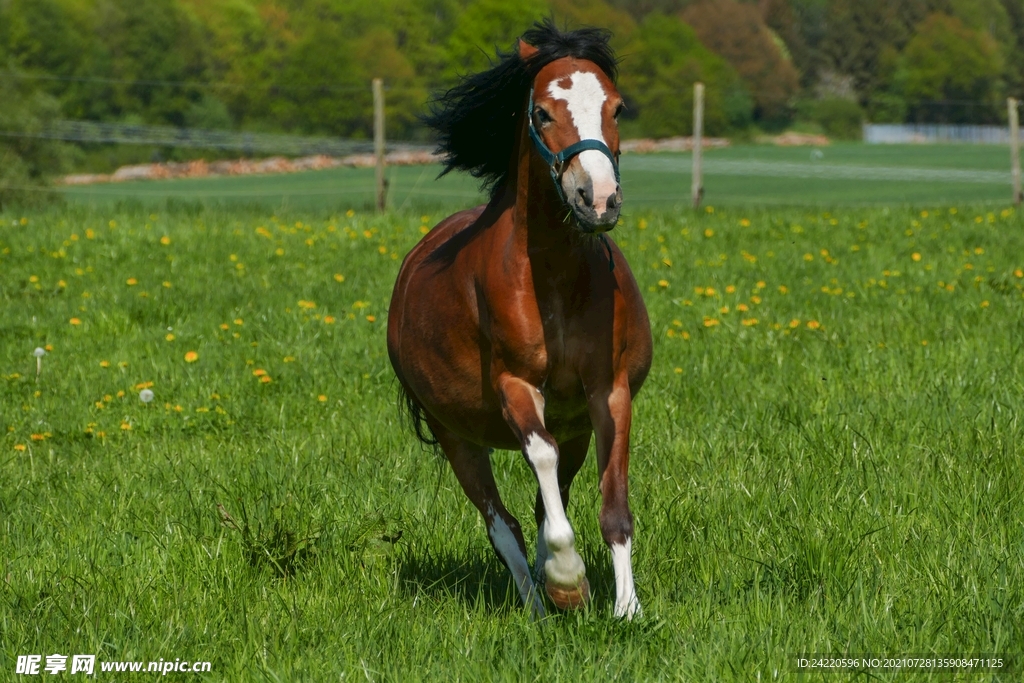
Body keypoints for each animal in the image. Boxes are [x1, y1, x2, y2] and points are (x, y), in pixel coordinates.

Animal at [387, 20, 652, 620]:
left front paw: (627, 609)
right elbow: (540, 462)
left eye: (618, 108)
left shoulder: (607, 392)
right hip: (455, 436)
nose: (598, 199)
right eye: (543, 114)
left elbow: (613, 507)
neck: (551, 276)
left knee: (539, 504)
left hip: (574, 427)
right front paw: (568, 581)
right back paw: (537, 604)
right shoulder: (515, 387)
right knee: (500, 523)